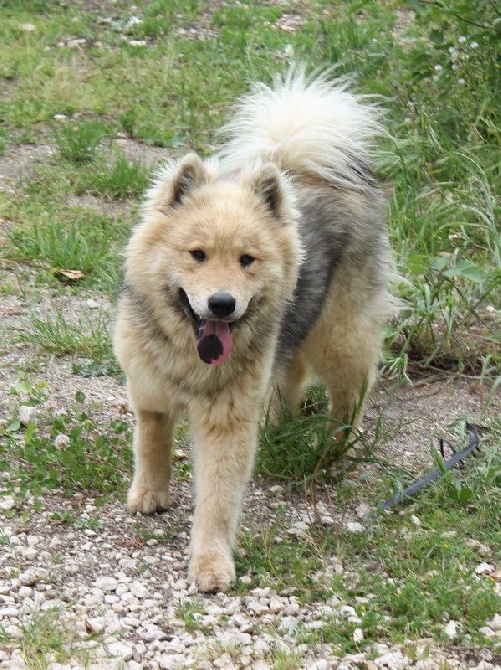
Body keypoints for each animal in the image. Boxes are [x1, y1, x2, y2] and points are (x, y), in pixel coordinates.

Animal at [113, 68, 394, 592]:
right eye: (197, 254)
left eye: (247, 259)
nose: (222, 303)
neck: (189, 357)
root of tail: (306, 167)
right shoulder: (149, 390)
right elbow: (151, 446)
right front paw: (150, 495)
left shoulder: (225, 422)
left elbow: (218, 499)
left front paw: (210, 563)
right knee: (292, 376)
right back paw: (280, 424)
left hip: (339, 338)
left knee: (352, 395)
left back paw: (335, 447)